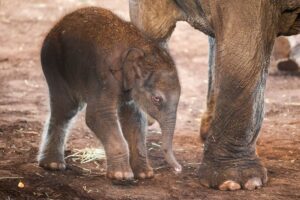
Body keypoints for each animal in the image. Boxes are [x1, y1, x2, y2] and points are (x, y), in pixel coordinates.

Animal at [38, 7, 182, 180]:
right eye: (157, 99)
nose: (179, 169)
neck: (140, 45)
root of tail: (58, 24)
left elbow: (134, 119)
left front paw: (145, 174)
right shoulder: (104, 77)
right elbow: (98, 116)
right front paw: (122, 176)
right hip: (54, 63)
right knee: (66, 109)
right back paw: (53, 165)